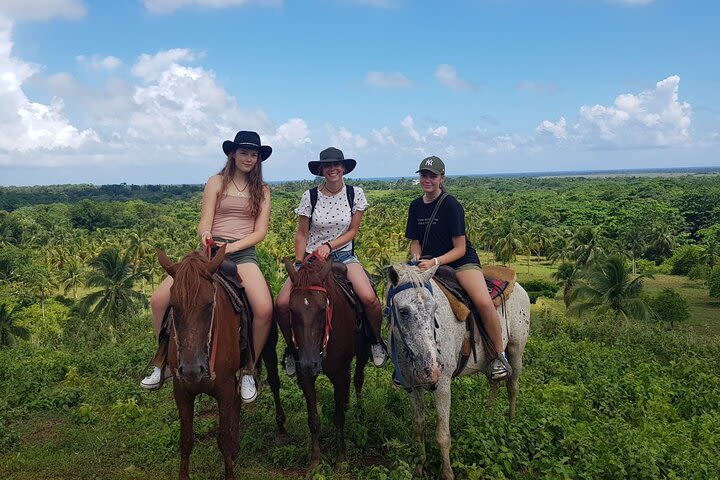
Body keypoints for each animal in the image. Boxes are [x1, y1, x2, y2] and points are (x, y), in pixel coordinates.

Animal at [158, 246, 286, 478]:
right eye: (172, 306)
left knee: (273, 381)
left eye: (210, 304)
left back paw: (281, 430)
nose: (192, 370)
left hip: (269, 347)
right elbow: (186, 440)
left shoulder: (224, 387)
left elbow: (223, 440)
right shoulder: (181, 389)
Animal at [282, 256, 372, 466]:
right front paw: (315, 460)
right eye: (291, 310)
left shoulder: (339, 374)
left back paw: (359, 412)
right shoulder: (304, 375)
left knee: (358, 379)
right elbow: (313, 418)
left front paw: (341, 459)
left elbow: (338, 417)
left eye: (323, 309)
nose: (310, 363)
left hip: (363, 351)